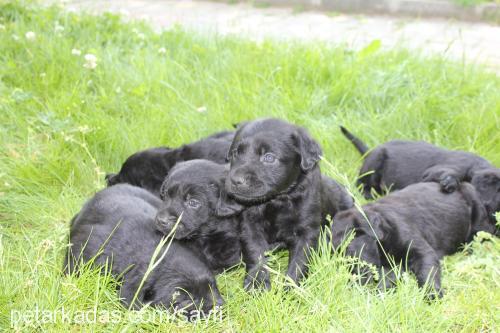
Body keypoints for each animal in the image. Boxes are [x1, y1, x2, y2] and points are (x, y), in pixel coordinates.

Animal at [330, 182, 494, 298]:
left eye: (351, 253)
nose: (355, 282)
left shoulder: (419, 248)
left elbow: (427, 270)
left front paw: (432, 294)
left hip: (476, 210)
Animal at [340, 124, 500, 231]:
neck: (475, 166)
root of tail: (370, 150)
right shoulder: (441, 169)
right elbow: (450, 174)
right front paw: (449, 182)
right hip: (374, 162)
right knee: (361, 184)